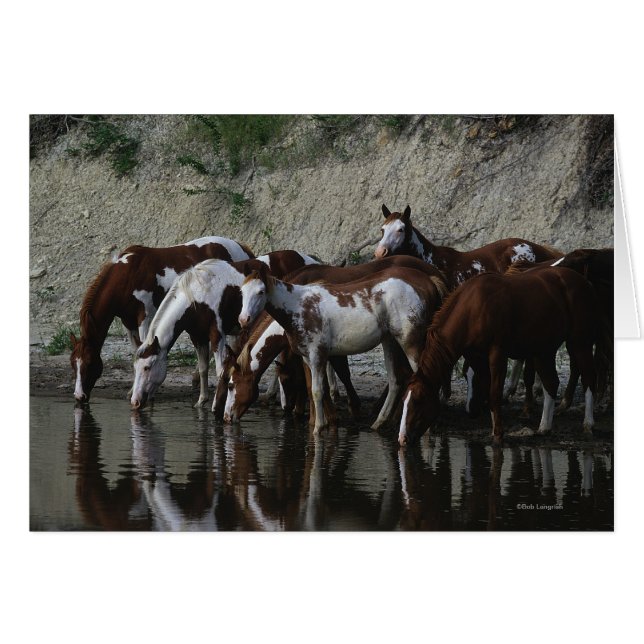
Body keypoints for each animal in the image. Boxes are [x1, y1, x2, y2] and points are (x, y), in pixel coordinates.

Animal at [70, 235, 254, 404]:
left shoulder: (145, 317)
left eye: (89, 364)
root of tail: (242, 248)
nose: (79, 396)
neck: (128, 275)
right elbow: (136, 351)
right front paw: (133, 390)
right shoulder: (128, 322)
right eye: (73, 364)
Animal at [130, 250, 319, 410]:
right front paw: (202, 400)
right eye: (135, 368)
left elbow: (220, 370)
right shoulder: (198, 337)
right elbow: (203, 368)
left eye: (147, 367)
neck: (197, 296)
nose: (135, 402)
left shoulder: (217, 335)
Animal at [223, 256, 450, 425]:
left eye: (231, 386)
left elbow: (319, 388)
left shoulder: (318, 355)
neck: (298, 306)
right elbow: (314, 388)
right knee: (396, 380)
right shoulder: (307, 356)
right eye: (242, 291)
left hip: (410, 342)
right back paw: (380, 422)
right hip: (390, 342)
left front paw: (322, 425)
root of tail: (430, 278)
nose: (243, 319)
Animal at [398, 266, 599, 447]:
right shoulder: (476, 358)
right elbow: (487, 389)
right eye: (404, 401)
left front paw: (498, 436)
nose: (402, 439)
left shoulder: (497, 354)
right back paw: (544, 427)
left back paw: (588, 424)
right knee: (551, 383)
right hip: (543, 351)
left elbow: (494, 394)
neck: (474, 309)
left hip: (579, 343)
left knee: (588, 378)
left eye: (419, 400)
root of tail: (584, 282)